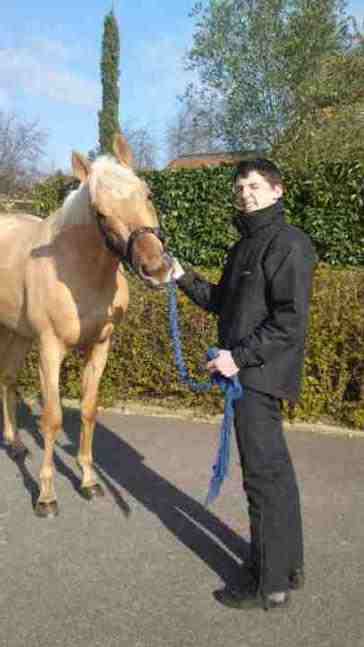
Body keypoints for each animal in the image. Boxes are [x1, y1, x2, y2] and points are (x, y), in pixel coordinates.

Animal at [0, 134, 173, 520]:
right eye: (100, 212)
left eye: (148, 193)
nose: (157, 269)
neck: (77, 269)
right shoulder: (50, 350)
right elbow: (52, 419)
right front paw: (46, 496)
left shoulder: (100, 346)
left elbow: (89, 411)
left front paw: (89, 481)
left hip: (17, 334)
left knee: (7, 379)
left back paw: (15, 445)